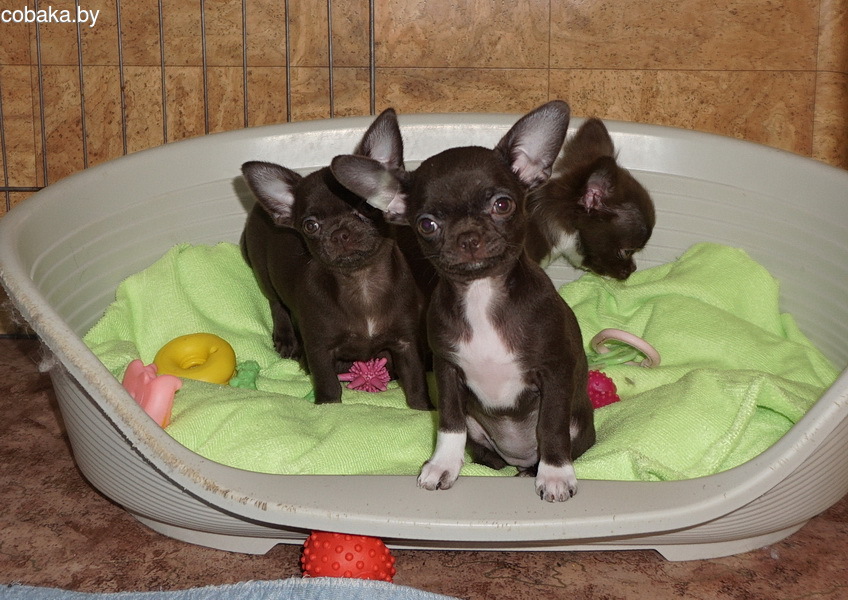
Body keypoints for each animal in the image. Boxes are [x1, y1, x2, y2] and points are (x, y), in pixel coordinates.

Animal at [240, 108, 432, 410]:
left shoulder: (406, 343)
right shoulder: (320, 348)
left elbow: (415, 384)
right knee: (276, 303)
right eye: (310, 226)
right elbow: (328, 384)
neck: (362, 282)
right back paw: (285, 339)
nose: (340, 233)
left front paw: (422, 411)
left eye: (368, 206)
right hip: (262, 271)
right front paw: (328, 409)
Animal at [331, 101, 596, 501]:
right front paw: (443, 465)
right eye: (426, 225)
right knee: (487, 454)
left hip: (579, 424)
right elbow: (449, 423)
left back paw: (534, 470)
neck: (481, 294)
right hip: (482, 434)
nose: (468, 236)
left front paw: (554, 475)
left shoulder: (555, 372)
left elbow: (551, 426)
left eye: (502, 204)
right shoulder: (448, 371)